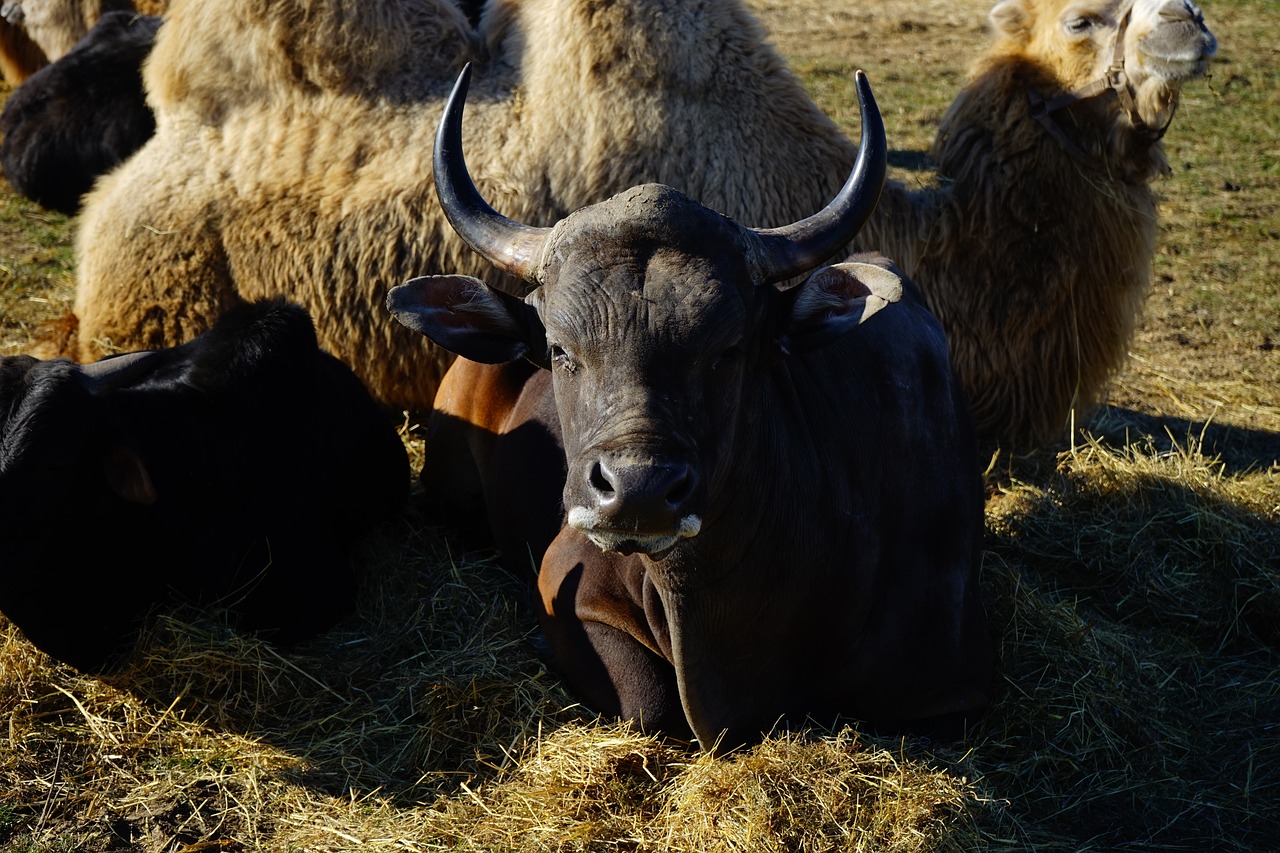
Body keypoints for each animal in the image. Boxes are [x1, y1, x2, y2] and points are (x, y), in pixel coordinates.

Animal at [384, 68, 993, 753]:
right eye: (560, 349)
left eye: (729, 349)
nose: (638, 491)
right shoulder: (568, 582)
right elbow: (647, 705)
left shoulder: (954, 691)